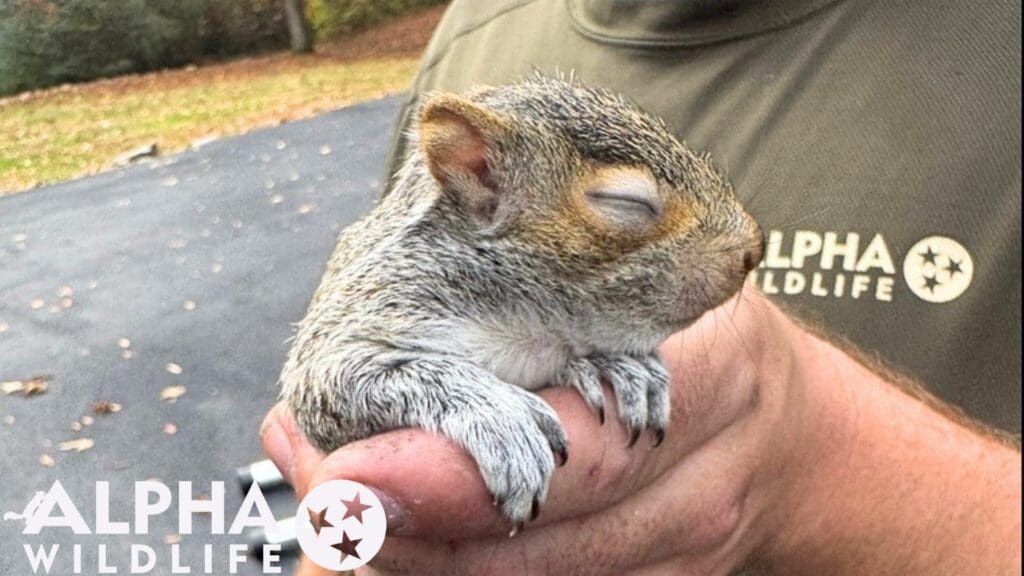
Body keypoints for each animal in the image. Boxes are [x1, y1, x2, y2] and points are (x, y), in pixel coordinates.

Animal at [279, 74, 764, 532]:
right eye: (625, 202)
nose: (753, 249)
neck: (527, 323)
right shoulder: (367, 310)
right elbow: (343, 379)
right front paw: (500, 415)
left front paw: (623, 369)